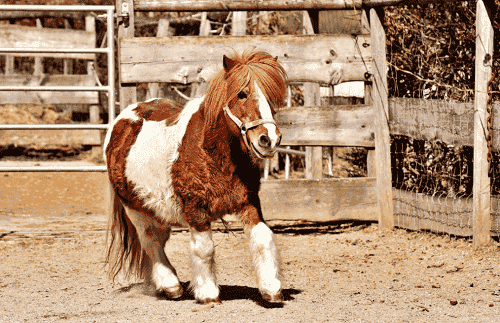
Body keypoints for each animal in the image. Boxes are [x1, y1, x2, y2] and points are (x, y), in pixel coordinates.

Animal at [103, 49, 288, 306]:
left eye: (271, 98)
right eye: (242, 94)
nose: (269, 139)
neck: (214, 153)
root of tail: (121, 121)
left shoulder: (249, 202)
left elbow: (262, 239)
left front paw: (271, 289)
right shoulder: (196, 210)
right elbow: (205, 249)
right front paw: (208, 293)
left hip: (157, 210)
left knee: (156, 241)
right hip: (135, 209)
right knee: (151, 241)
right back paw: (170, 286)